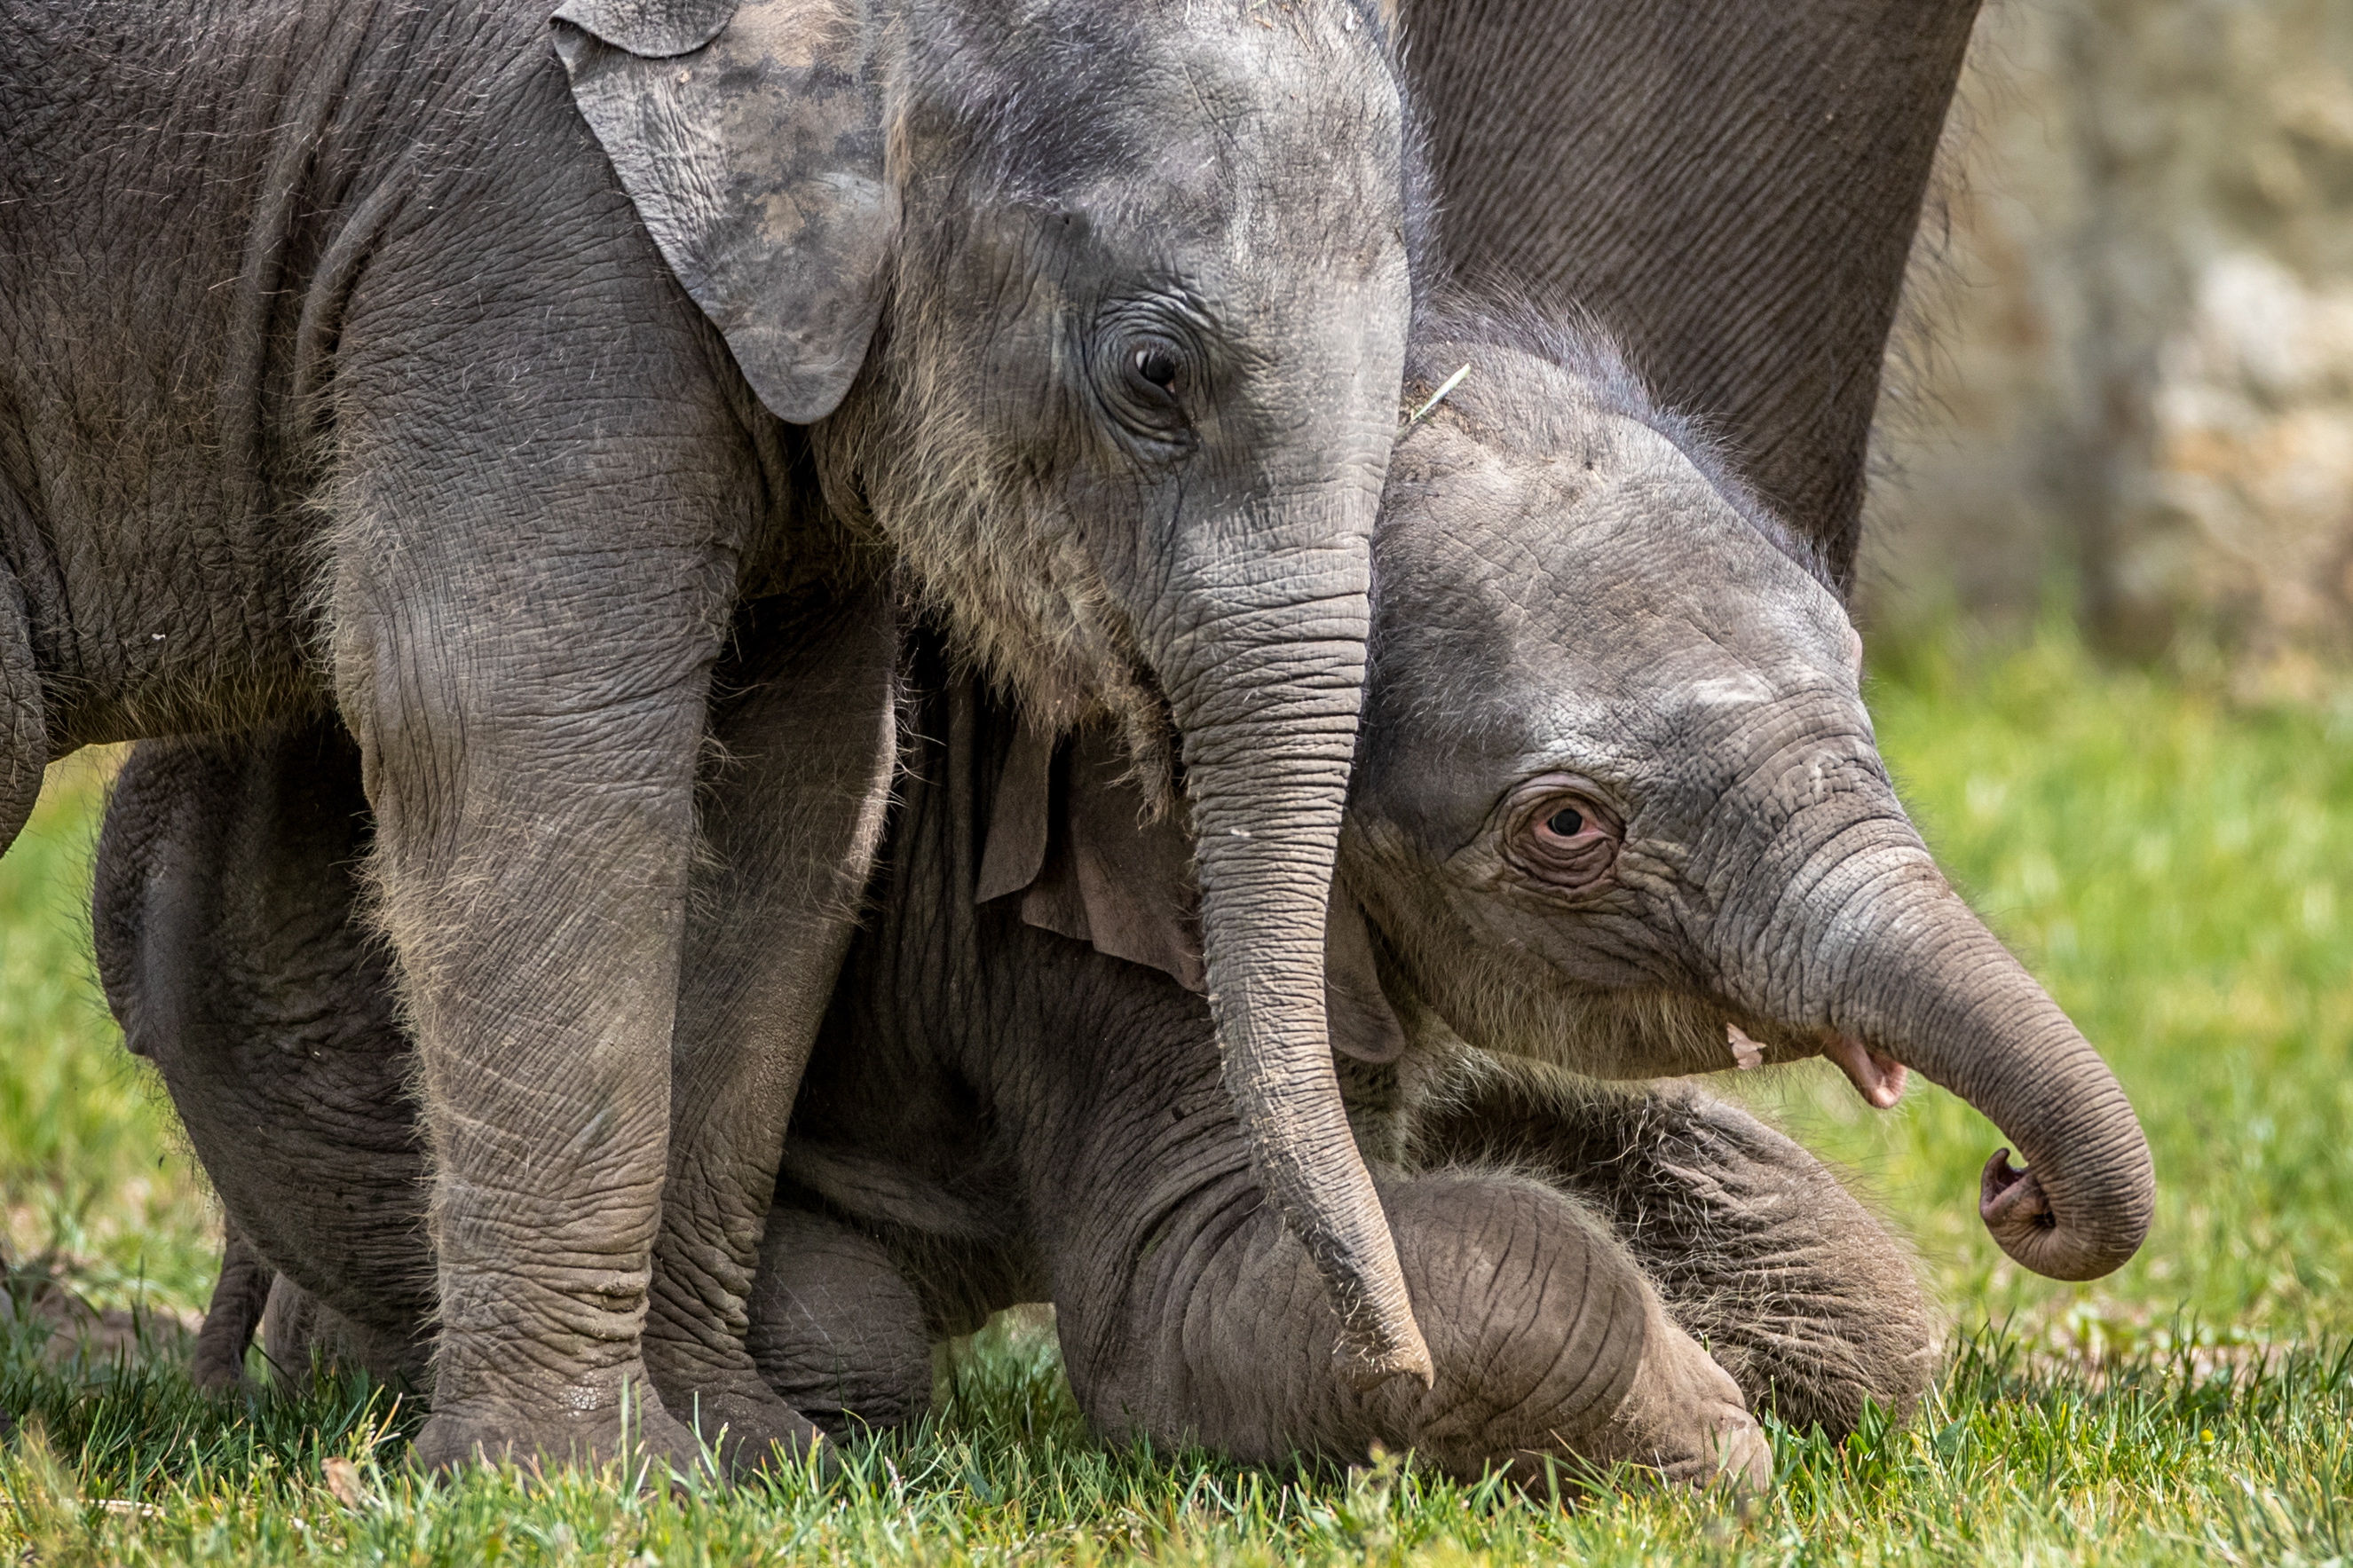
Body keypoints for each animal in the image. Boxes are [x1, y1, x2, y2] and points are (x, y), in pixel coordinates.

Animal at [0, 0, 1421, 1476]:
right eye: (1154, 373)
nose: (1396, 1375)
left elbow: (804, 796)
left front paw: (750, 1450)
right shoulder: (527, 235)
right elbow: (511, 715)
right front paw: (573, 1475)